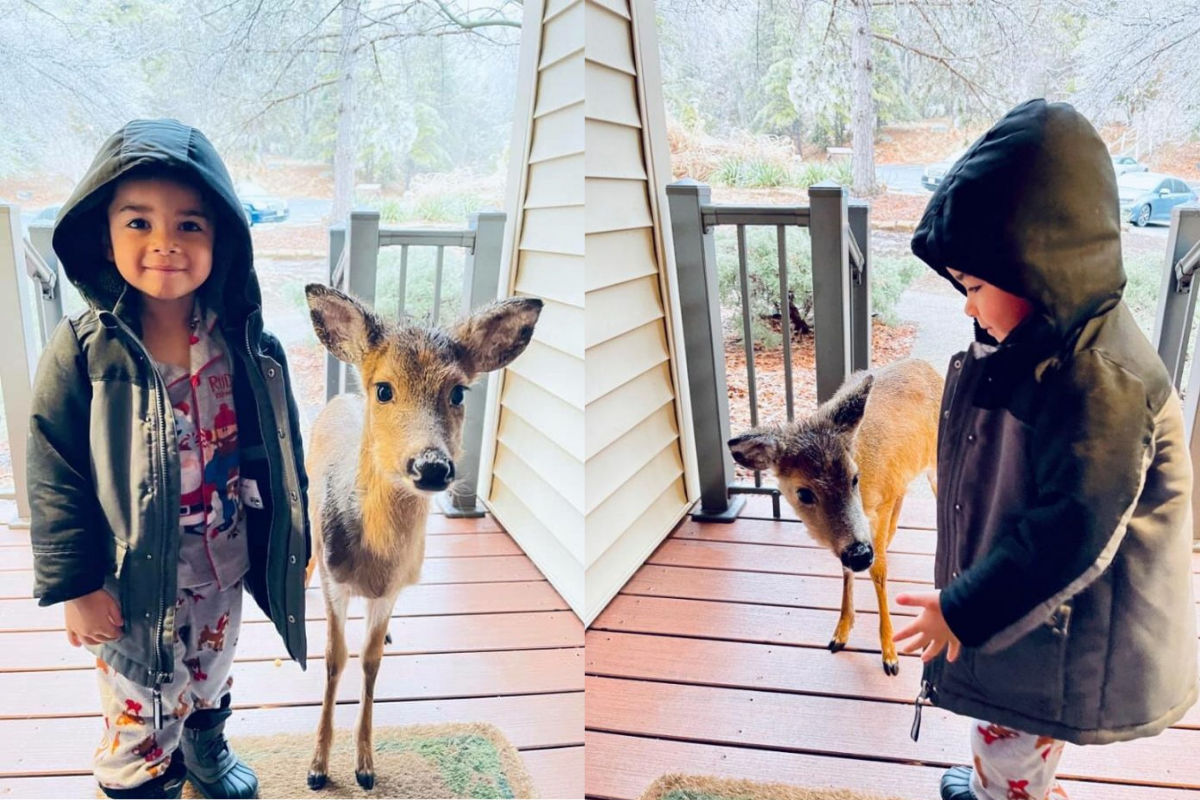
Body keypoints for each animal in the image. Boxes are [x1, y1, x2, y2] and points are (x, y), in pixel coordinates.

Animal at [301, 283, 543, 791]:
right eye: (384, 389)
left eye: (458, 391)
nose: (431, 465)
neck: (373, 562)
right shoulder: (335, 579)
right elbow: (334, 659)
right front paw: (317, 768)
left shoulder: (392, 589)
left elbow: (370, 660)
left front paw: (365, 766)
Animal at [728, 358, 942, 676]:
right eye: (804, 493)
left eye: (854, 478)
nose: (860, 554)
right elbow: (846, 570)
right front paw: (840, 632)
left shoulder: (880, 506)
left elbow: (879, 572)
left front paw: (890, 656)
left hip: (935, 464)